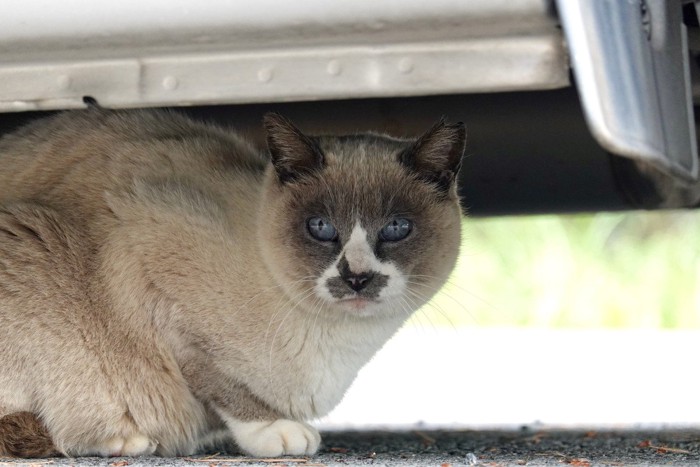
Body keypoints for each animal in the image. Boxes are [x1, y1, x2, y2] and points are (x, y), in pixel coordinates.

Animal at [0, 108, 464, 458]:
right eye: (321, 228)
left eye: (397, 229)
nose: (357, 277)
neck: (342, 342)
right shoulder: (154, 277)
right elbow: (225, 388)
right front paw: (275, 432)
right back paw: (127, 440)